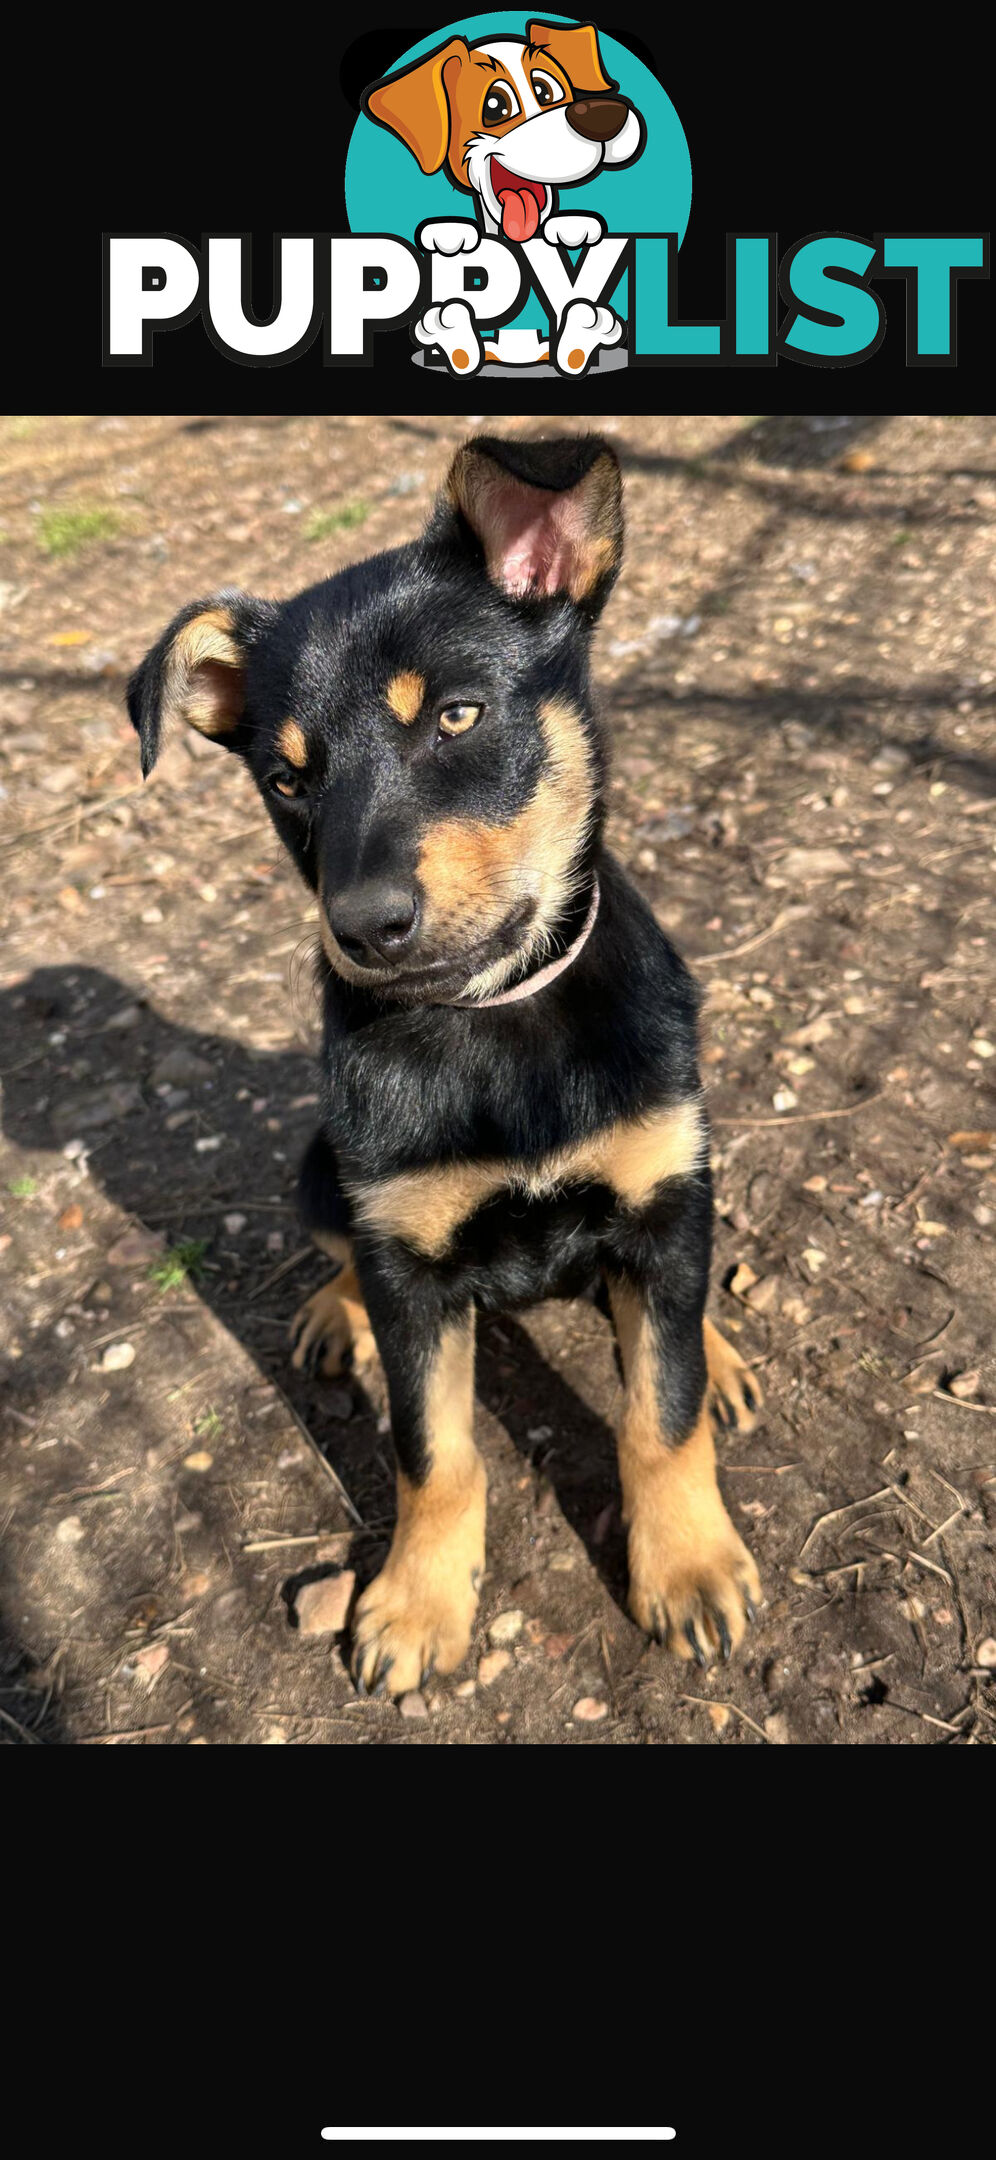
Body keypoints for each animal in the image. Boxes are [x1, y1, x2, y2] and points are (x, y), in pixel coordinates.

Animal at [126, 429, 760, 1693]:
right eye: (287, 778)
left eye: (460, 717)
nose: (364, 929)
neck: (495, 1024)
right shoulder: (412, 1261)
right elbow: (436, 1454)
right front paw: (417, 1603)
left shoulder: (658, 1190)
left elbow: (658, 1415)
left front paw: (688, 1565)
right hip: (320, 1169)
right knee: (340, 1255)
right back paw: (334, 1314)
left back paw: (714, 1351)